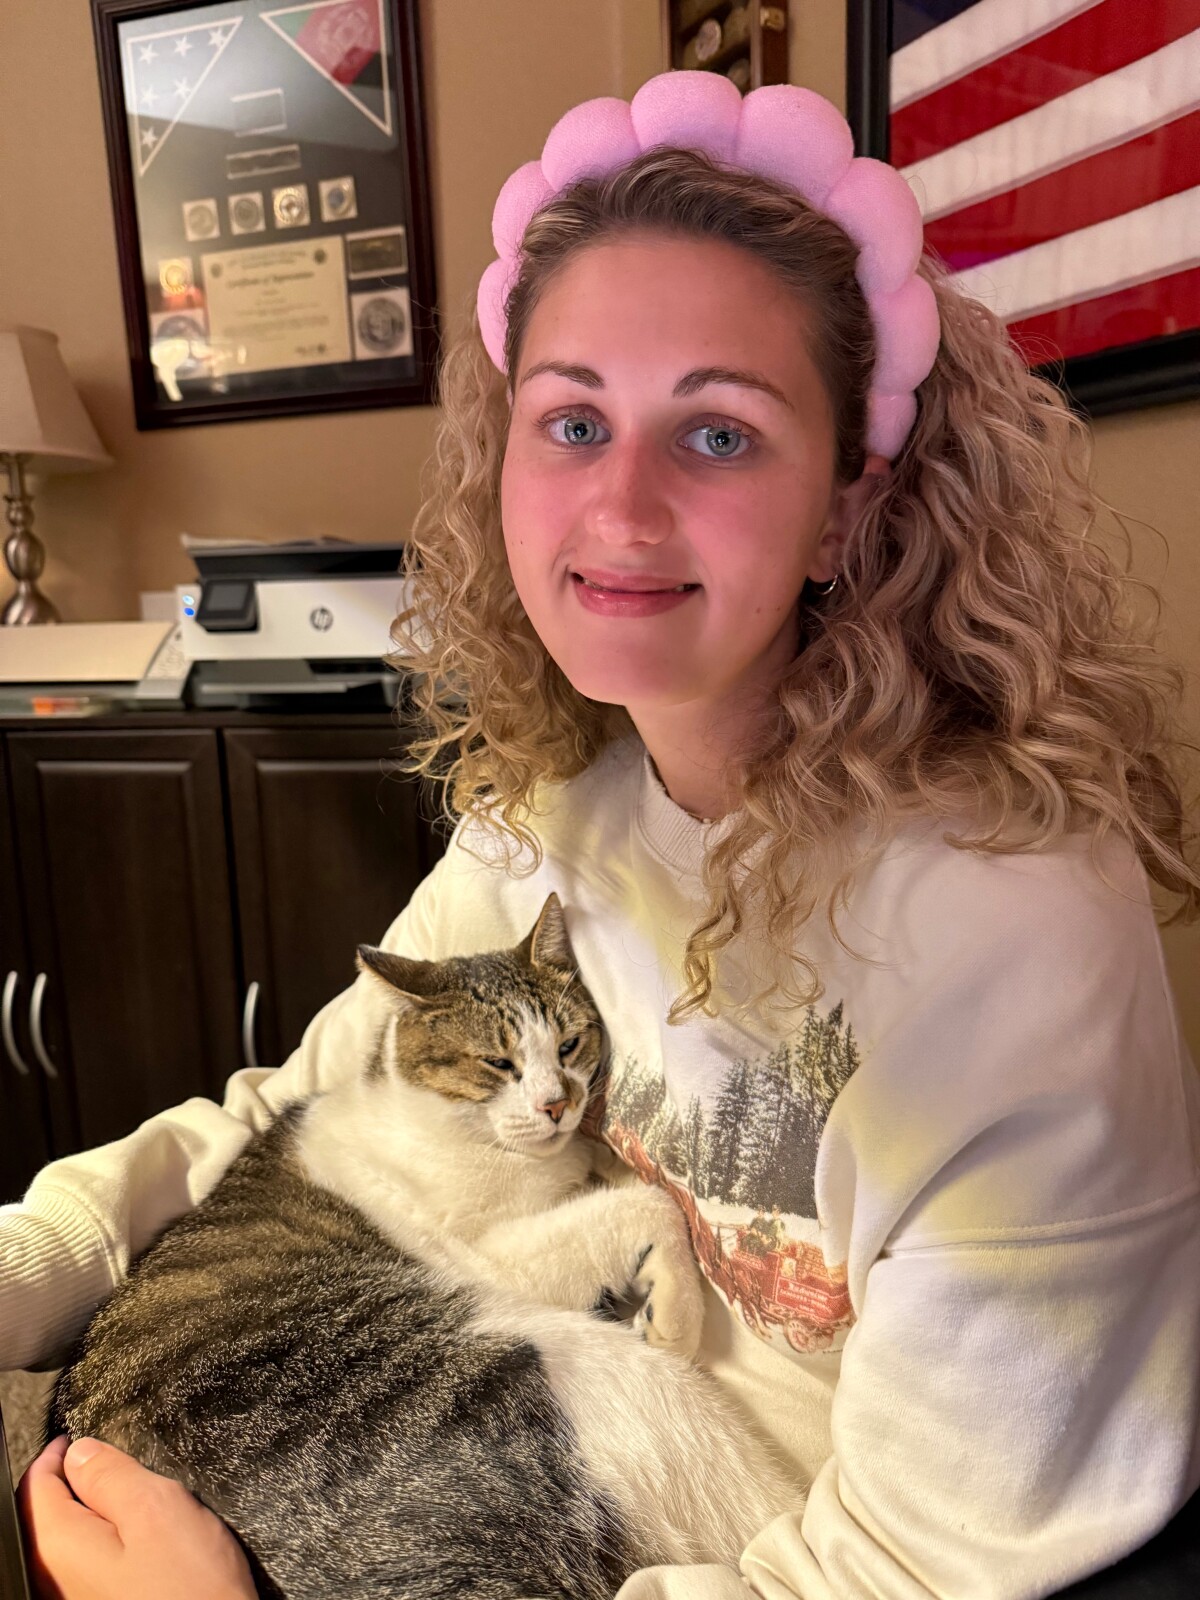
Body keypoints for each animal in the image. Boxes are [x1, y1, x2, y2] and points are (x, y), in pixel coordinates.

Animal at [48, 894, 797, 1600]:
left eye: (569, 1045)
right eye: (498, 1063)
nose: (557, 1105)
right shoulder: (490, 1253)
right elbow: (649, 1202)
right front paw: (677, 1317)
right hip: (603, 1377)